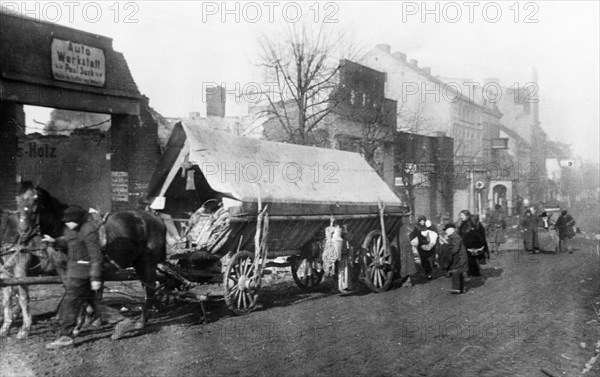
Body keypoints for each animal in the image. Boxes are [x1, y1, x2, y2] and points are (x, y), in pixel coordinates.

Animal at [16, 183, 166, 332]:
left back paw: (142, 321)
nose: (24, 230)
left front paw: (82, 322)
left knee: (150, 289)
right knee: (147, 288)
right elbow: (79, 291)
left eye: (36, 199)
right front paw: (87, 319)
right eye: (18, 200)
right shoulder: (62, 268)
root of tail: (156, 219)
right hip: (139, 263)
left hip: (147, 262)